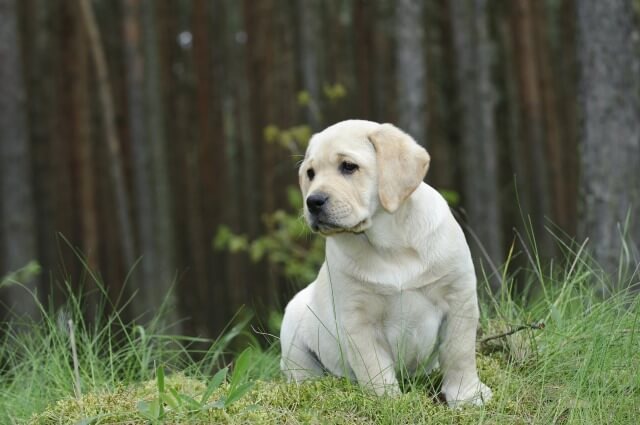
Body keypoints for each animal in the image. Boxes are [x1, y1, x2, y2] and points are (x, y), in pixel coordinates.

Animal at [278, 120, 490, 408]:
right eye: (310, 173)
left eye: (348, 166)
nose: (313, 201)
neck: (389, 244)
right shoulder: (357, 319)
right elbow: (374, 368)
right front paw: (388, 404)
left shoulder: (459, 298)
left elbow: (459, 352)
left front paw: (466, 396)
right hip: (293, 333)